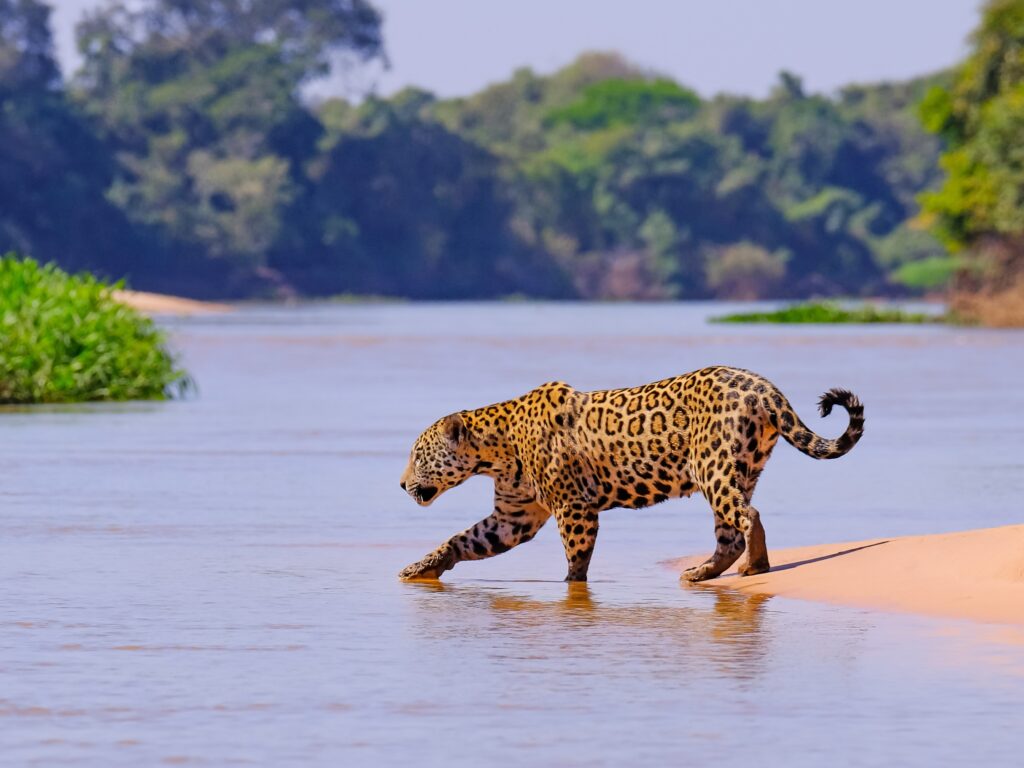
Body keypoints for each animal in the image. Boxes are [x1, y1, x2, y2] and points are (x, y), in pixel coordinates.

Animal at [398, 365, 864, 583]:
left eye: (417, 456)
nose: (401, 484)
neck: (496, 450)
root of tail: (763, 386)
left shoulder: (574, 508)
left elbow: (576, 560)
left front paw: (571, 588)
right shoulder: (514, 517)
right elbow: (462, 540)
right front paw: (419, 568)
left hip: (712, 465)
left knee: (748, 516)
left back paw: (755, 567)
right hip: (741, 467)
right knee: (730, 531)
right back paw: (702, 573)